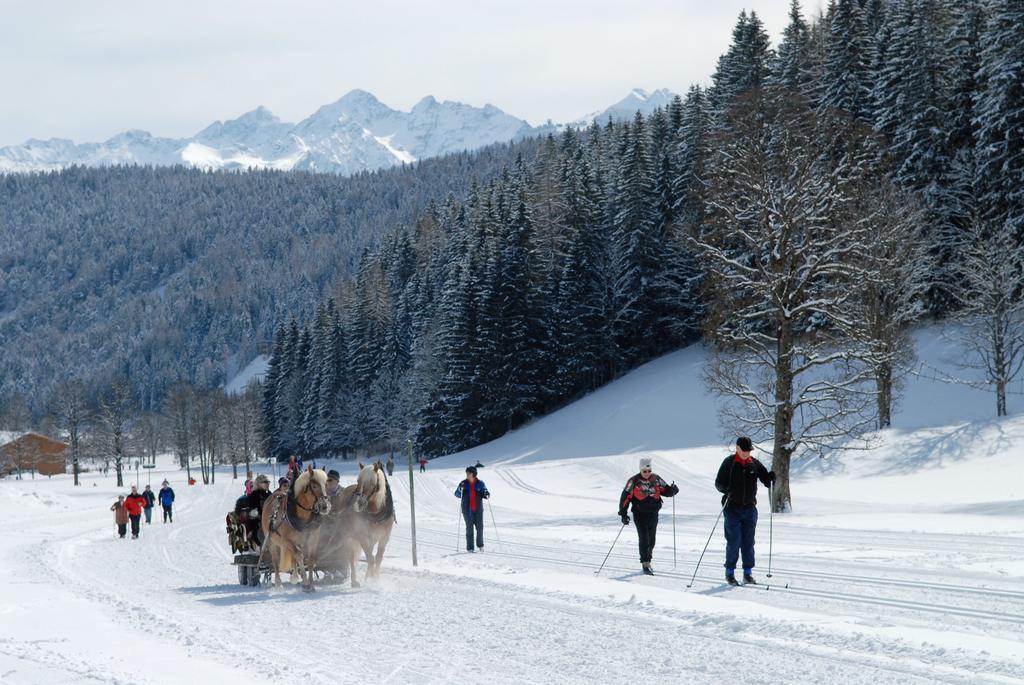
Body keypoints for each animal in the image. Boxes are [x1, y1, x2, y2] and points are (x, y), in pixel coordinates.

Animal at [339, 458, 395, 589]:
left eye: (372, 483)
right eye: (358, 481)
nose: (357, 503)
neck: (376, 514)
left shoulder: (384, 537)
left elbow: (377, 558)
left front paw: (375, 579)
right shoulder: (362, 537)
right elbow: (370, 558)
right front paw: (372, 580)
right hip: (349, 537)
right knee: (351, 557)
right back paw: (354, 581)